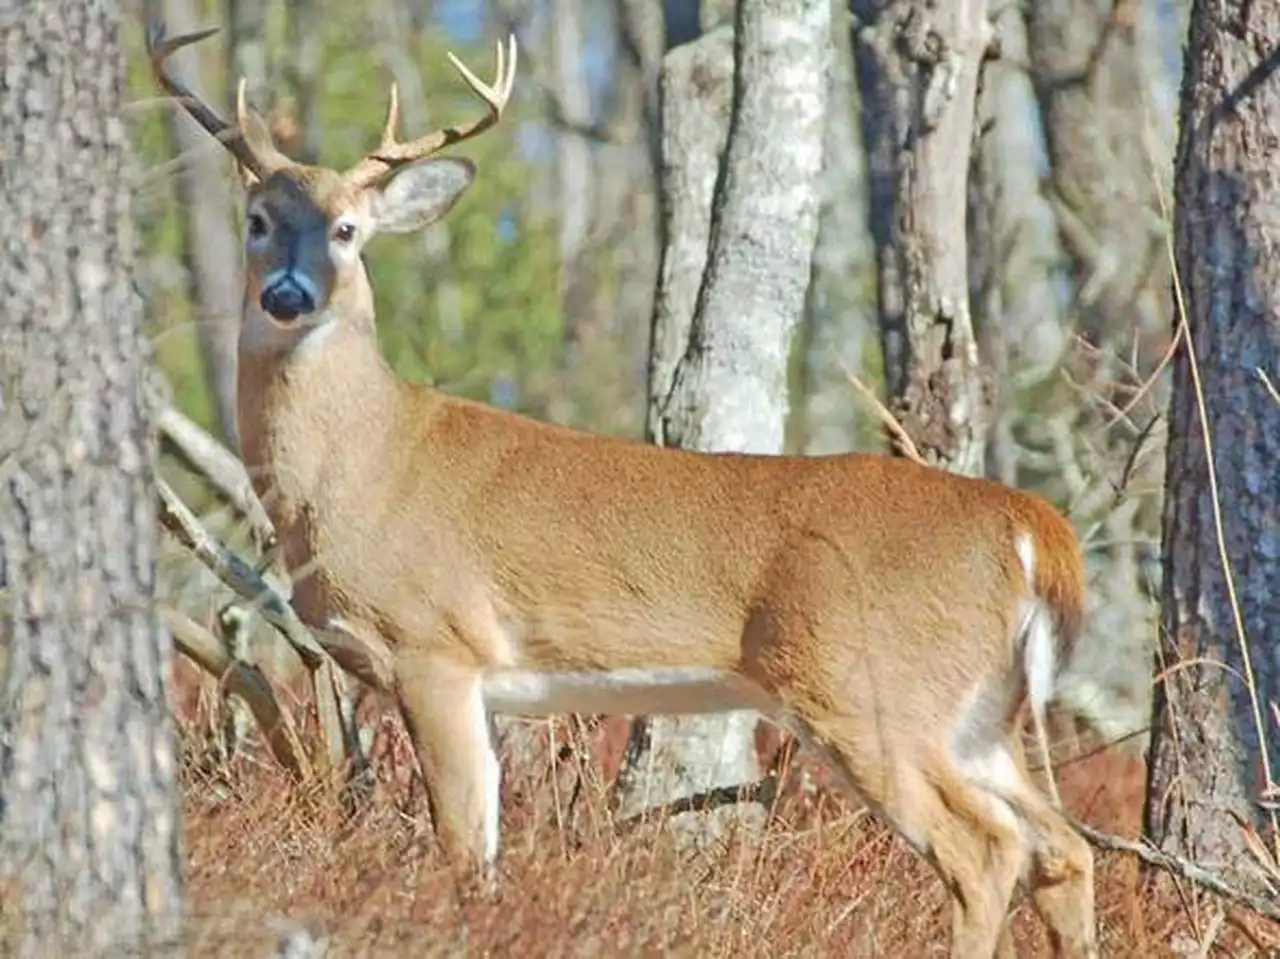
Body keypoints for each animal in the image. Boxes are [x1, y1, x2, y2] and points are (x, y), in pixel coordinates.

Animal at [145, 22, 1095, 957]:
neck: (362, 465)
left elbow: (461, 844)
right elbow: (485, 841)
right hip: (979, 712)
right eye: (259, 219)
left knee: (986, 849)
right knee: (1065, 847)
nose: (287, 294)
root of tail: (1029, 525)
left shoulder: (435, 644)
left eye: (346, 229)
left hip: (870, 684)